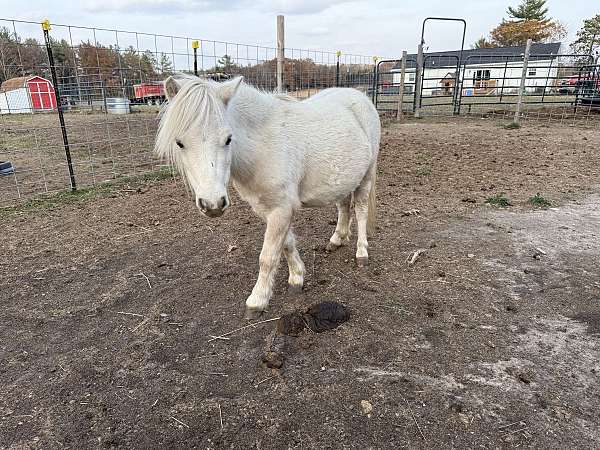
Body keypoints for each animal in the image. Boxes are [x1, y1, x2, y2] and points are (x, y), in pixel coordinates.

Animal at [155, 74, 380, 320]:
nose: (213, 204)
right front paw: (297, 278)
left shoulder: (281, 209)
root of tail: (359, 96)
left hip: (367, 174)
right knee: (343, 206)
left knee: (360, 210)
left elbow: (268, 256)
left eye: (228, 139)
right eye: (180, 143)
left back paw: (361, 253)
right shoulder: (267, 208)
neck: (264, 145)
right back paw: (337, 239)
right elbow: (286, 244)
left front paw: (257, 300)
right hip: (343, 179)